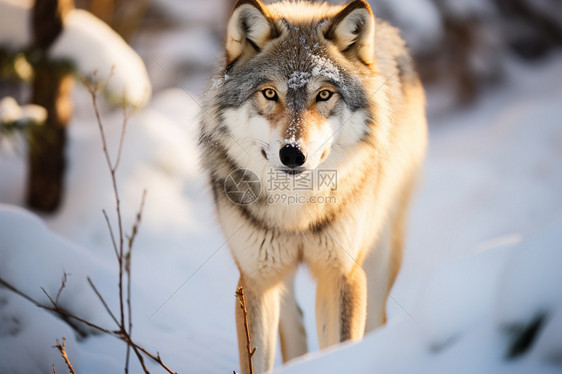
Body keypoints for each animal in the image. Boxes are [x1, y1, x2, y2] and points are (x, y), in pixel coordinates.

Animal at [197, 0, 424, 372]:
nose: (292, 154)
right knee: (293, 321)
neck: (297, 214)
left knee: (377, 317)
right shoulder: (255, 279)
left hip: (380, 253)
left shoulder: (342, 276)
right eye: (270, 93)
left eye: (324, 94)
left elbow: (342, 346)